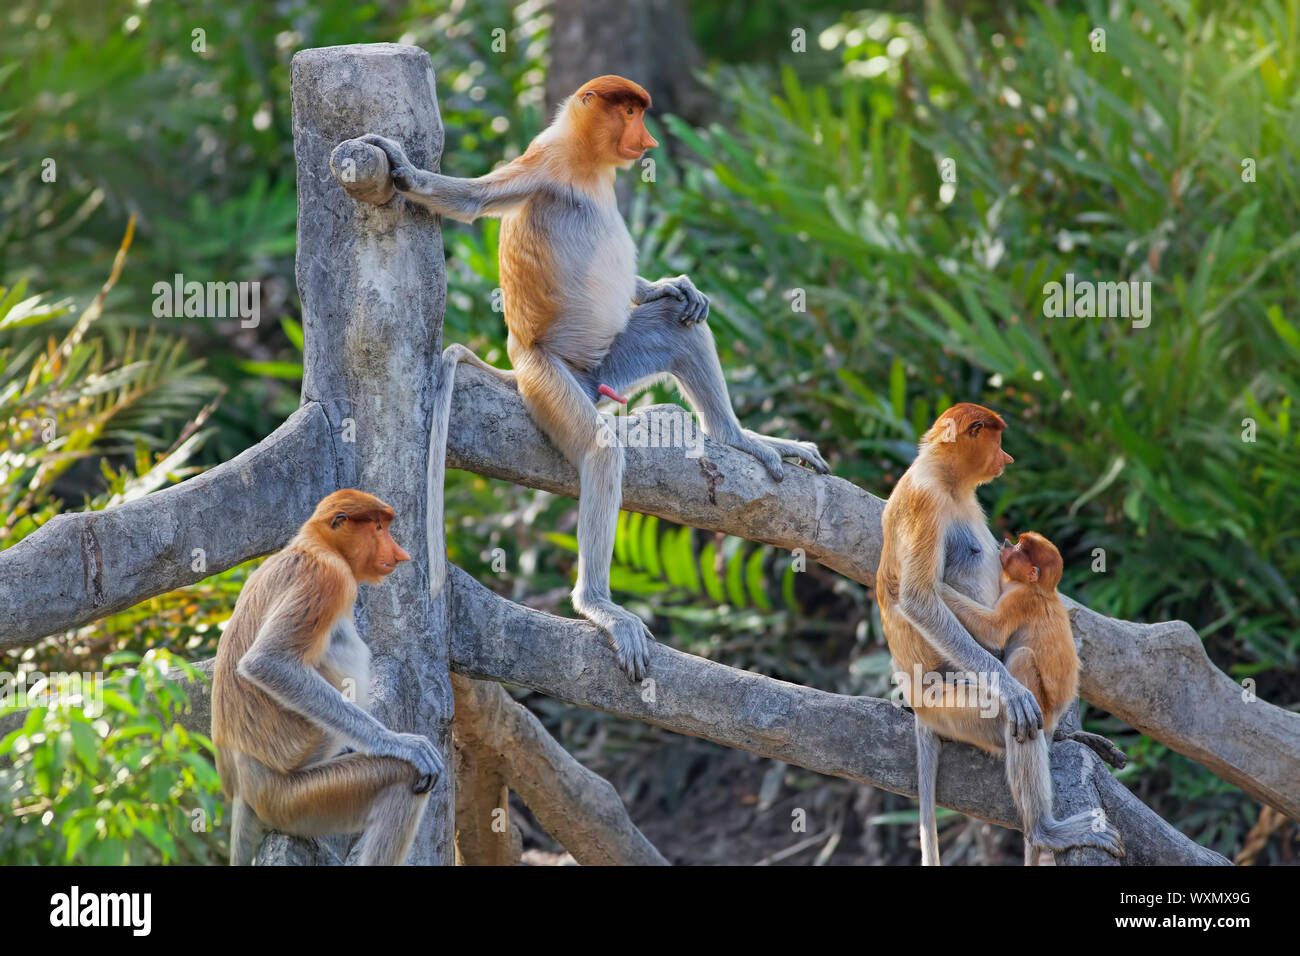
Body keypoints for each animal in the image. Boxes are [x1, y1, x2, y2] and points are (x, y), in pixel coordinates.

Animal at [211, 489, 443, 866]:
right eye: (379, 527)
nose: (400, 554)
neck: (315, 543)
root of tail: (245, 787)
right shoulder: (327, 577)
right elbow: (267, 661)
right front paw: (401, 743)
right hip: (293, 799)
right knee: (401, 778)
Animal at [360, 75, 829, 681]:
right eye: (629, 111)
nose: (647, 138)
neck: (587, 164)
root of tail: (525, 366)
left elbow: (668, 303)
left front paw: (673, 286)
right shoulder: (545, 160)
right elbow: (472, 200)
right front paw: (403, 170)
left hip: (609, 365)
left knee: (679, 329)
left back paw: (737, 436)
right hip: (548, 381)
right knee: (602, 451)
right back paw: (598, 605)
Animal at [875, 403, 1123, 866]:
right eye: (997, 440)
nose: (1006, 459)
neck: (944, 477)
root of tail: (919, 702)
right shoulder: (925, 501)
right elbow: (917, 598)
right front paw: (1011, 690)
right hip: (949, 703)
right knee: (1016, 709)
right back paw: (1044, 831)